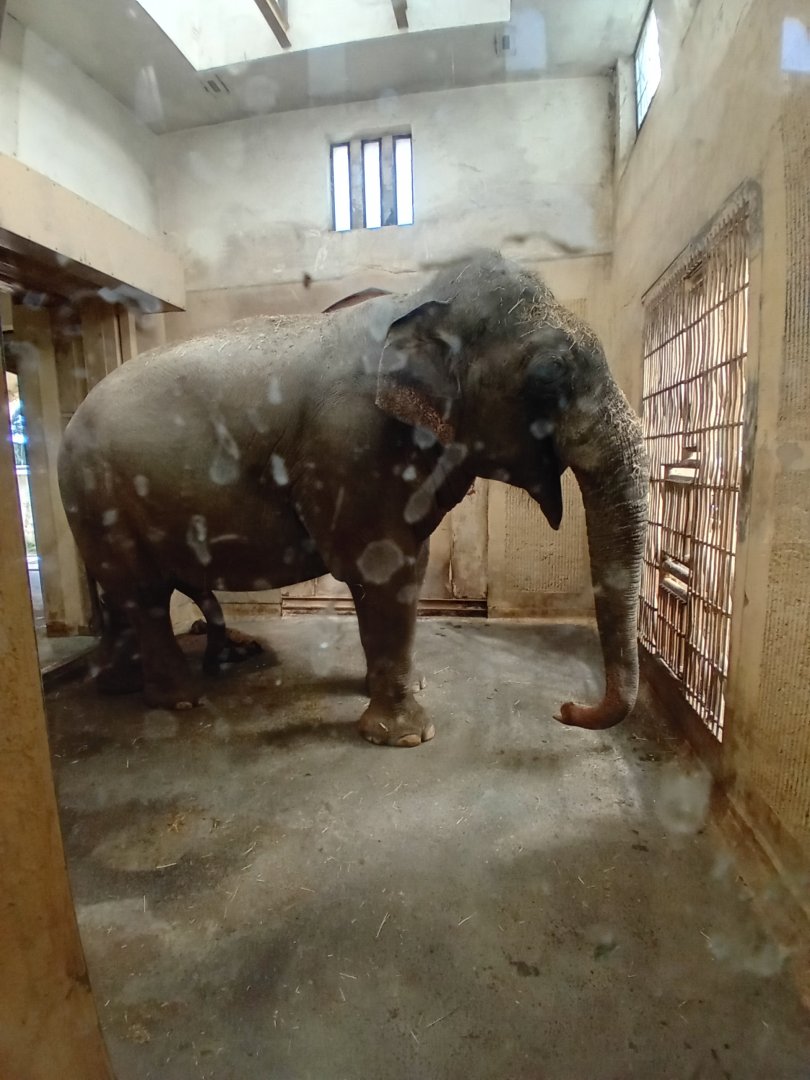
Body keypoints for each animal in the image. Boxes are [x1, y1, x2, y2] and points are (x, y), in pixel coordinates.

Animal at [58, 250, 648, 746]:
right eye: (548, 375)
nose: (566, 709)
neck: (421, 300)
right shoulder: (354, 443)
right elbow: (386, 568)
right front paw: (407, 737)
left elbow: (406, 568)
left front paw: (398, 693)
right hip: (98, 494)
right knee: (145, 593)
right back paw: (179, 699)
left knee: (127, 592)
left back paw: (123, 683)